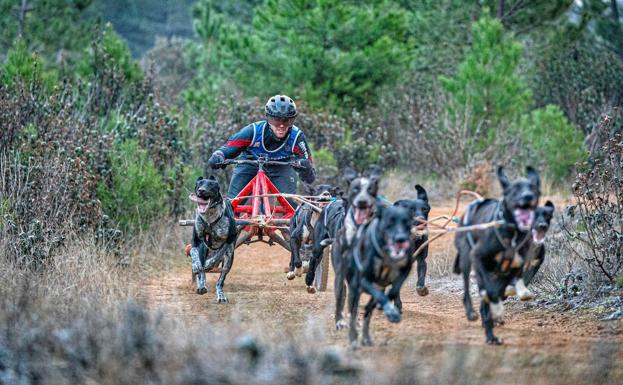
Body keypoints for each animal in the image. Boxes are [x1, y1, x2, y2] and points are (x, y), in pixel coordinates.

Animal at [189, 175, 238, 304]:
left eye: (211, 184)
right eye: (199, 184)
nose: (201, 190)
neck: (209, 219)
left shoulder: (231, 238)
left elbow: (219, 254)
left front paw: (211, 262)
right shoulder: (196, 240)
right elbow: (193, 253)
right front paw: (195, 265)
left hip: (229, 259)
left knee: (220, 279)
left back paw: (221, 295)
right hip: (204, 249)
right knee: (202, 271)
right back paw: (201, 285)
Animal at [344, 204, 416, 344]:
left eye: (407, 222)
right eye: (390, 222)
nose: (401, 239)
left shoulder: (404, 271)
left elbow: (393, 291)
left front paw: (390, 308)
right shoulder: (364, 279)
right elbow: (380, 296)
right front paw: (390, 311)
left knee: (367, 314)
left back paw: (366, 337)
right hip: (354, 290)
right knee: (353, 313)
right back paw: (353, 337)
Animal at [454, 165, 540, 344]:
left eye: (533, 188)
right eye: (514, 190)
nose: (527, 196)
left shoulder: (512, 268)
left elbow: (499, 291)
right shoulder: (479, 259)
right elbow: (491, 294)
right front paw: (496, 312)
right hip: (467, 260)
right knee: (467, 289)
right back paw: (473, 313)